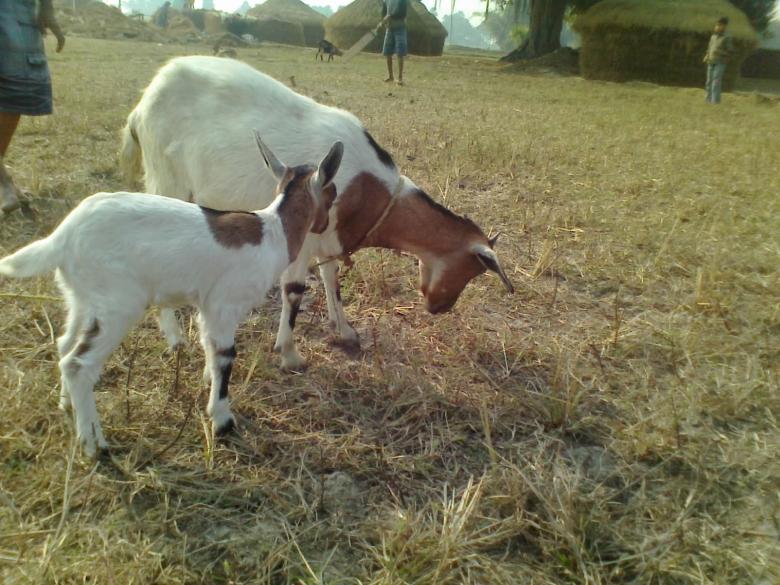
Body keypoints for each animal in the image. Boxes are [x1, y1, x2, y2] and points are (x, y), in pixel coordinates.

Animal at [0, 136, 343, 457]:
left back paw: (67, 406)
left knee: (64, 345)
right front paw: (222, 421)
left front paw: (207, 386)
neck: (272, 231)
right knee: (78, 364)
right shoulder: (224, 304)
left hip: (83, 299)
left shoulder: (206, 307)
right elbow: (225, 355)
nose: (326, 223)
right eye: (332, 193)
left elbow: (209, 349)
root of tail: (62, 237)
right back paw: (95, 445)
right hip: (117, 304)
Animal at [120, 56, 514, 372]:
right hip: (165, 177)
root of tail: (141, 105)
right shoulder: (302, 235)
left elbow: (331, 278)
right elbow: (294, 290)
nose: (438, 307)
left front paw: (346, 331)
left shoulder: (329, 236)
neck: (366, 185)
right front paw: (290, 355)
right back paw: (175, 338)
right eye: (475, 269)